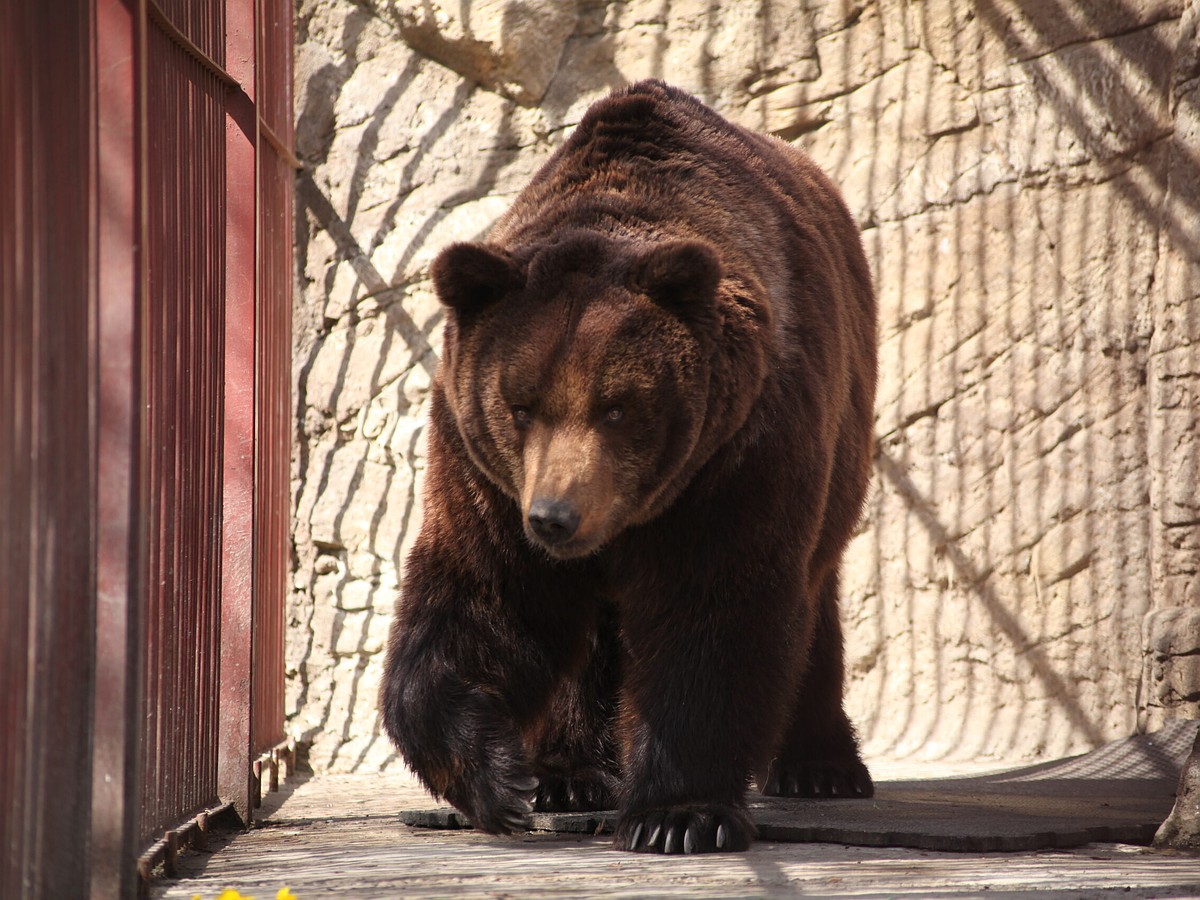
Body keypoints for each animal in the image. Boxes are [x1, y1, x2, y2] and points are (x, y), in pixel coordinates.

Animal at [379, 81, 878, 854]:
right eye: (520, 405)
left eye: (617, 407)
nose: (555, 518)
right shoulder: (481, 472)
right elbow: (485, 602)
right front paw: (502, 779)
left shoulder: (737, 455)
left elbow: (714, 615)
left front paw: (678, 814)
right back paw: (569, 773)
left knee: (813, 600)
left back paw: (821, 766)